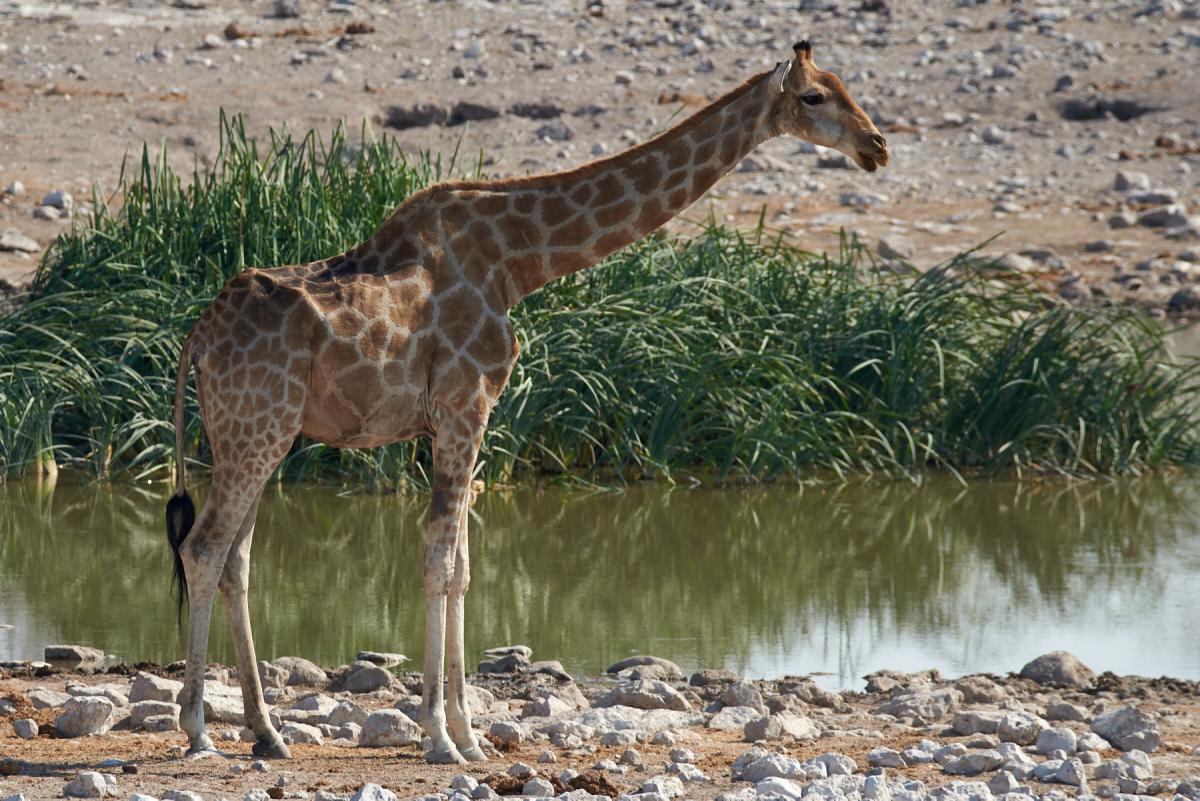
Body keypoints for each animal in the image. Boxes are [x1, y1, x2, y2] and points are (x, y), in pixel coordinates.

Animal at [164, 41, 889, 764]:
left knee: (236, 559)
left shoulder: (464, 416)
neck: (519, 261)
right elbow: (440, 561)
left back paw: (267, 732)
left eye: (846, 86)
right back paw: (199, 728)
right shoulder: (465, 404)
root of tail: (197, 339)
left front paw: (468, 733)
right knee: (204, 546)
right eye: (815, 97)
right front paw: (441, 737)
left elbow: (461, 565)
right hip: (255, 427)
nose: (876, 146)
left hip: (265, 433)